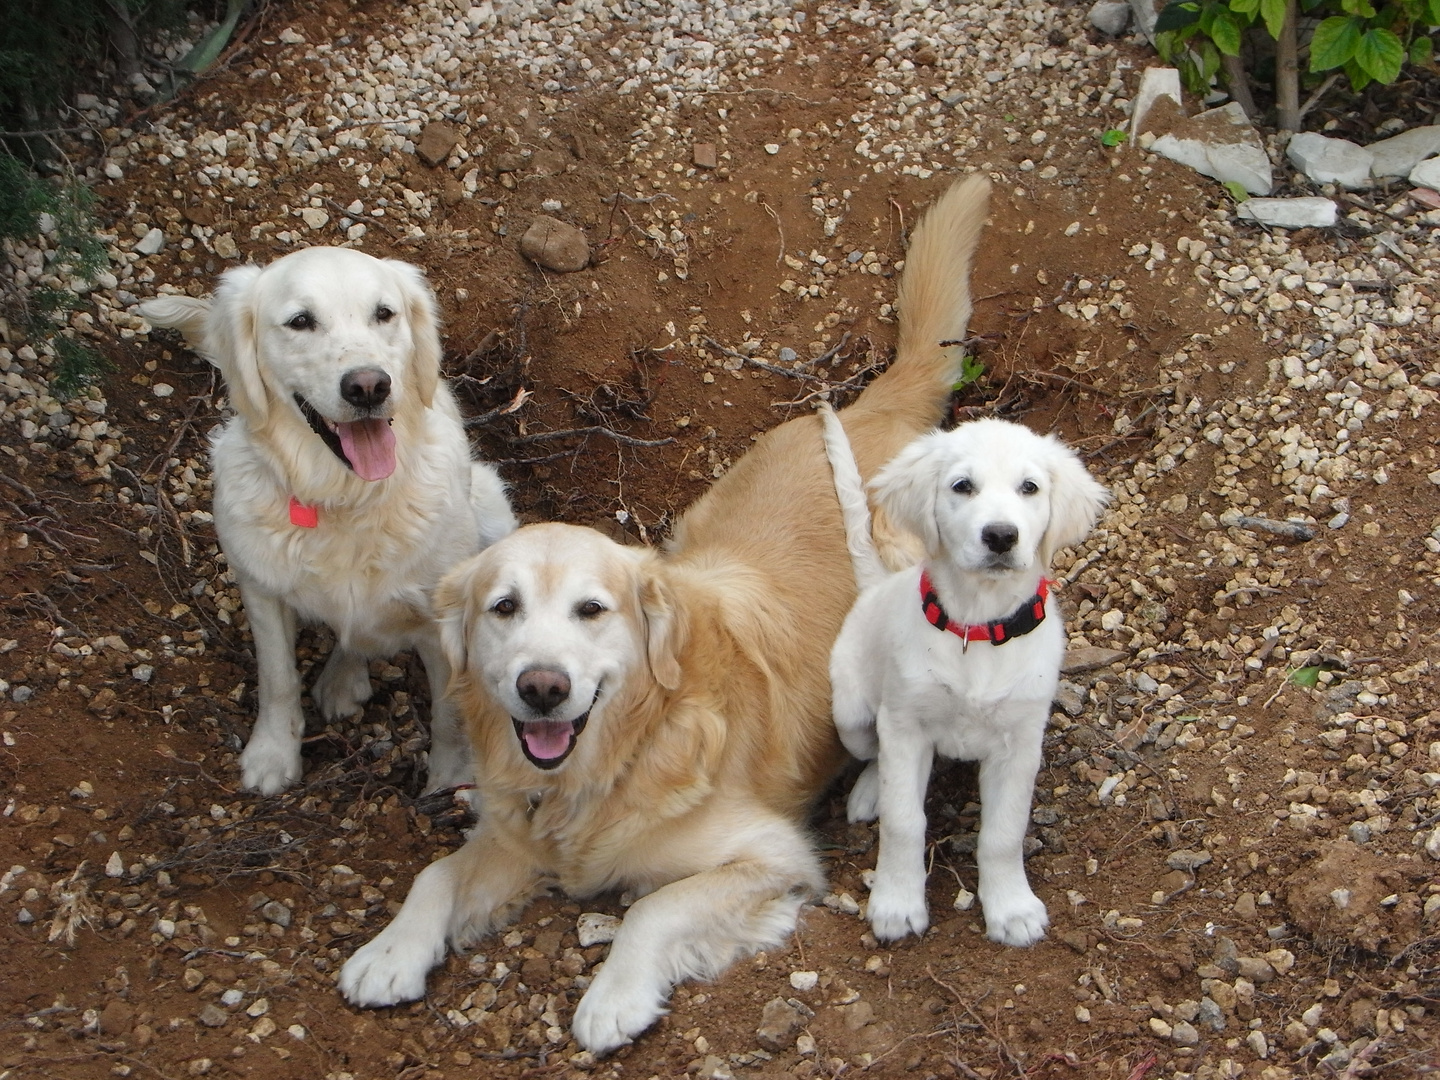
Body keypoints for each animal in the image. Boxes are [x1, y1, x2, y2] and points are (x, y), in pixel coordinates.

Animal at [138, 249, 518, 800]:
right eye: (300, 321)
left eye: (384, 313)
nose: (369, 386)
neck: (346, 498)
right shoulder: (261, 589)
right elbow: (277, 679)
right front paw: (272, 755)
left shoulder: (445, 623)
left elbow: (450, 713)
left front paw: (449, 783)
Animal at [823, 414, 1111, 944]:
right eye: (962, 486)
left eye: (1029, 487)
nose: (1000, 536)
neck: (977, 627)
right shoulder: (905, 725)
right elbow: (903, 820)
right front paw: (896, 902)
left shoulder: (1020, 742)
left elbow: (1003, 832)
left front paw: (1011, 908)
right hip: (850, 713)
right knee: (873, 755)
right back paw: (870, 791)